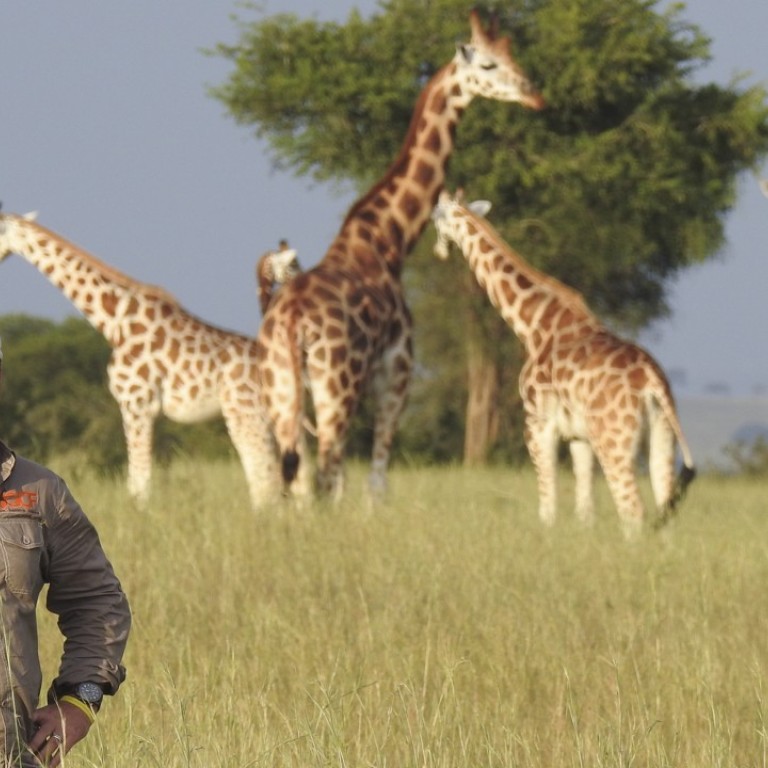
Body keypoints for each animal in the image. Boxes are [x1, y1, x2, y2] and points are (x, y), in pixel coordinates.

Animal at [0, 210, 280, 510]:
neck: (114, 319)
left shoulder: (135, 401)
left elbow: (139, 478)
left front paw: (140, 513)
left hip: (245, 411)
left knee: (264, 471)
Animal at [256, 10, 545, 500]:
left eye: (512, 55)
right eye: (488, 64)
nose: (534, 94)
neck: (387, 238)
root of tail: (292, 325)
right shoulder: (396, 373)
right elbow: (377, 482)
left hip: (282, 389)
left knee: (293, 479)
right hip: (335, 386)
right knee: (325, 474)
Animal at [431, 190, 696, 537]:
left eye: (435, 217)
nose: (437, 251)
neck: (533, 327)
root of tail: (653, 381)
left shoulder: (537, 423)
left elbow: (548, 505)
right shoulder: (579, 436)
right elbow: (585, 509)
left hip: (613, 439)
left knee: (633, 510)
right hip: (661, 434)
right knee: (665, 507)